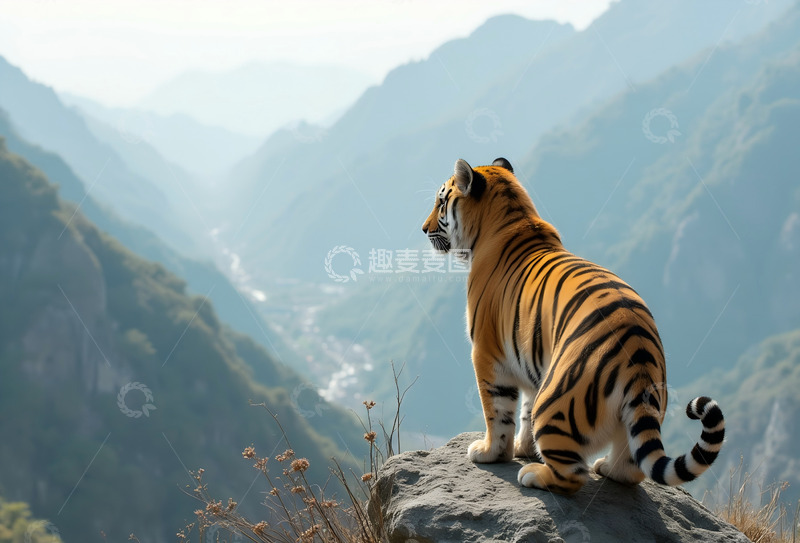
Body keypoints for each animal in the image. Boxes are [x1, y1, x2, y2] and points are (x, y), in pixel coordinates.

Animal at [421, 157, 725, 495]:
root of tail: (638, 356)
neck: (512, 217)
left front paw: (490, 453)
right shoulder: (531, 360)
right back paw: (605, 467)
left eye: (441, 201)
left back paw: (533, 474)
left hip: (556, 402)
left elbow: (497, 412)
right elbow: (525, 412)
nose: (424, 228)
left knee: (573, 475)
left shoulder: (487, 353)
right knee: (631, 468)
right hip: (635, 410)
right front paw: (523, 448)